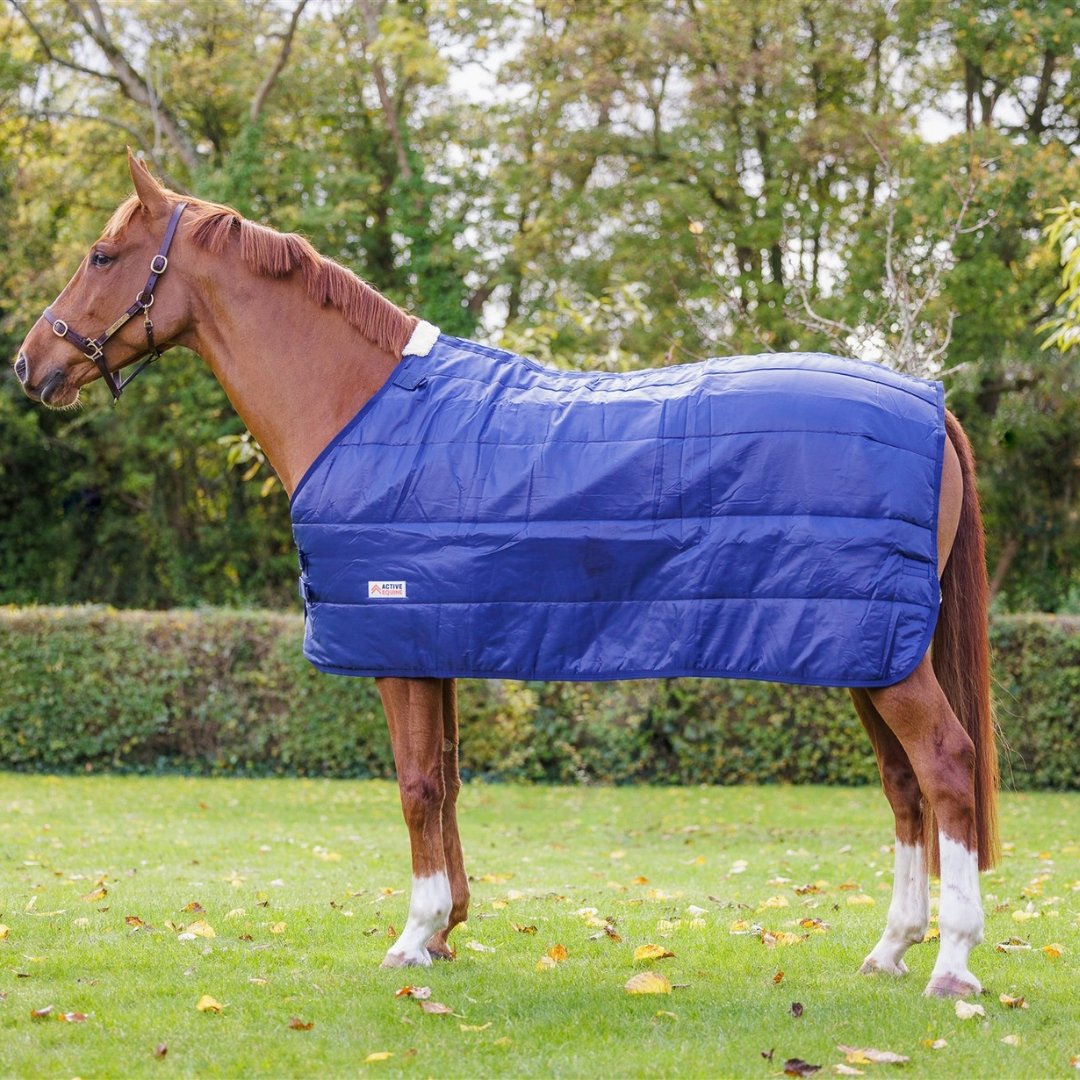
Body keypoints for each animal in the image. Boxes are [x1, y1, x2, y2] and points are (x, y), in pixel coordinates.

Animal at [14, 152, 998, 997]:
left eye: (102, 255)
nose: (31, 364)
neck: (358, 408)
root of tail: (929, 405)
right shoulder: (435, 639)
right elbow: (445, 784)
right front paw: (447, 931)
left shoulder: (397, 643)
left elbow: (415, 788)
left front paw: (412, 937)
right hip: (865, 650)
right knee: (904, 783)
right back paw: (890, 950)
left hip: (884, 655)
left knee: (947, 767)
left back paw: (953, 963)